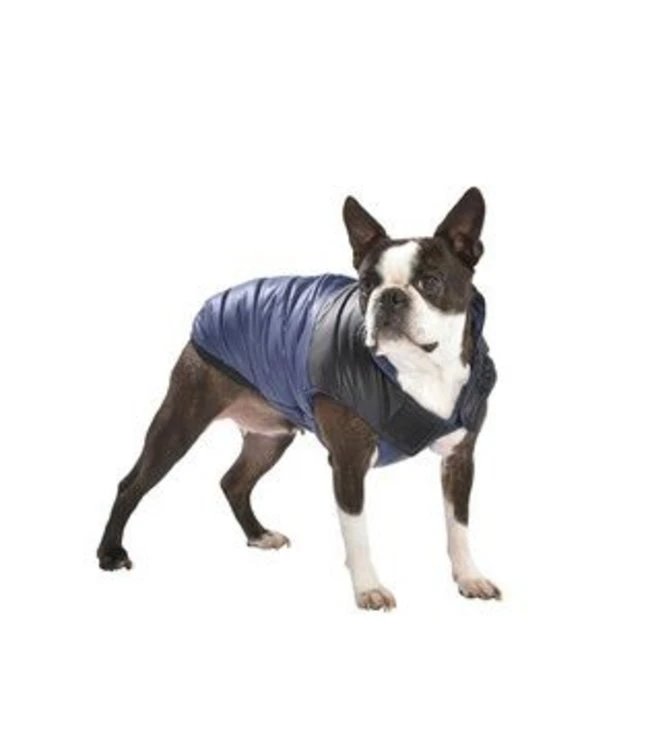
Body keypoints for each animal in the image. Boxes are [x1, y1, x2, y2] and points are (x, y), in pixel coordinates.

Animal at [98, 187, 500, 610]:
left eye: (430, 281)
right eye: (365, 285)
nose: (389, 297)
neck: (422, 368)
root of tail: (218, 299)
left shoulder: (460, 458)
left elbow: (458, 526)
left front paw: (470, 577)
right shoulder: (348, 462)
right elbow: (358, 534)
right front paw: (368, 588)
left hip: (269, 438)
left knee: (234, 481)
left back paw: (258, 534)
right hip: (181, 419)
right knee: (131, 484)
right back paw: (110, 553)